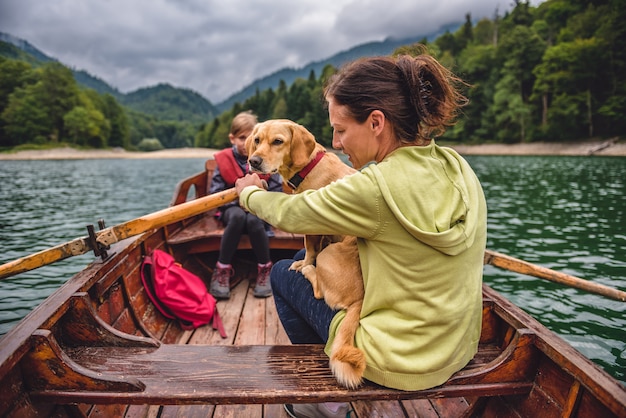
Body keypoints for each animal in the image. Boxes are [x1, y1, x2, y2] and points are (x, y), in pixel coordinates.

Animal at [245, 118, 366, 388]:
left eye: (278, 141)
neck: (307, 168)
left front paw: (303, 263)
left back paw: (309, 270)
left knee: (320, 288)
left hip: (329, 254)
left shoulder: (311, 226)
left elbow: (310, 249)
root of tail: (360, 301)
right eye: (257, 140)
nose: (253, 161)